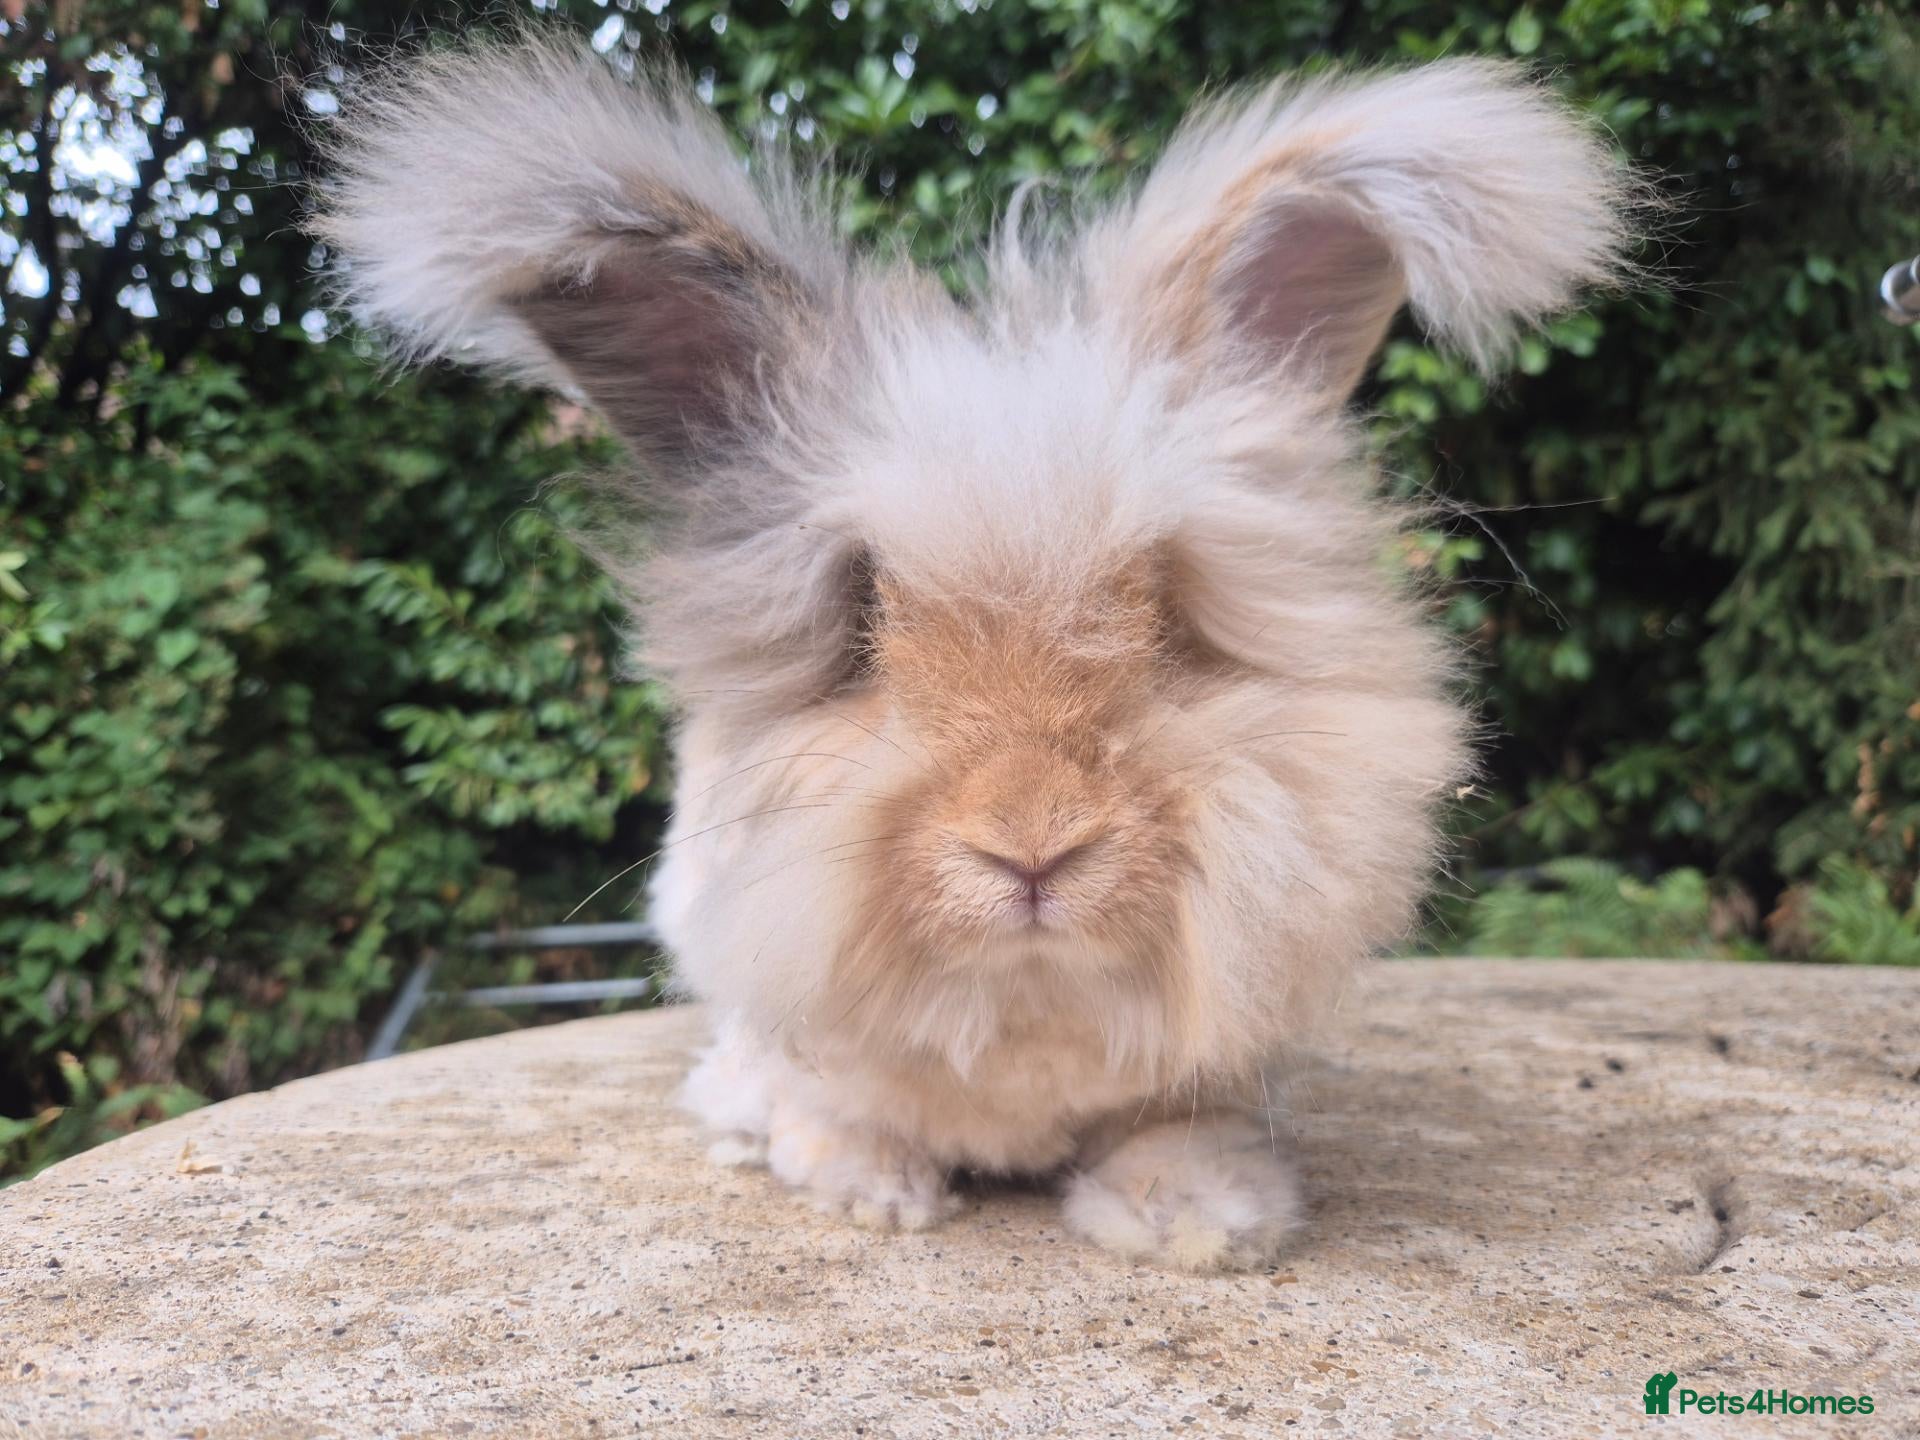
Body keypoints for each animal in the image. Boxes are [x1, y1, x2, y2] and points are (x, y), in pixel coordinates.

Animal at [314, 36, 1634, 1270]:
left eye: (1169, 612)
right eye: (859, 618)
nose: (1033, 846)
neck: (1020, 998)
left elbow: (1175, 1131)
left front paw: (1202, 1221)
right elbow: (830, 1102)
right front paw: (865, 1186)